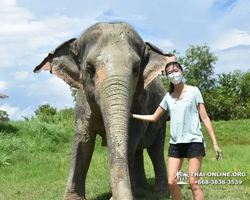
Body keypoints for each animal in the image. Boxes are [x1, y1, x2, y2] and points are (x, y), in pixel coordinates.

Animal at [33, 22, 176, 200]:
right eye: (90, 69)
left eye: (136, 69)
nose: (115, 197)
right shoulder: (82, 102)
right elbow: (83, 141)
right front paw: (72, 198)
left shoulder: (140, 103)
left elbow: (129, 141)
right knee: (139, 150)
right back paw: (140, 188)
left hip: (161, 122)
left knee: (155, 150)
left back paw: (159, 192)